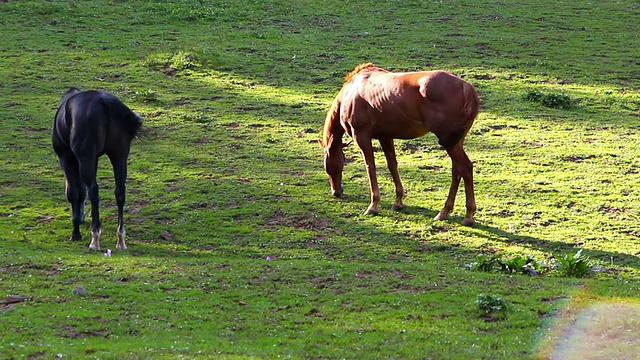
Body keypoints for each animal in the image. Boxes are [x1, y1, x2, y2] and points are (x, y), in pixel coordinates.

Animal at [52, 87, 142, 250]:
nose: (81, 217)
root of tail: (104, 101)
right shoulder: (94, 159)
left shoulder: (67, 158)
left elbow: (74, 192)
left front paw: (76, 232)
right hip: (119, 157)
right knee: (120, 192)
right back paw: (120, 239)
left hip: (86, 157)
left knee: (94, 190)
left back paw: (95, 238)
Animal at [322, 62, 478, 225]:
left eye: (327, 165)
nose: (336, 191)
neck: (351, 92)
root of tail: (467, 87)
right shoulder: (385, 136)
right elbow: (392, 165)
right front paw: (398, 202)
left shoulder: (362, 136)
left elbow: (371, 168)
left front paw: (373, 205)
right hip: (455, 142)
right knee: (457, 171)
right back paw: (444, 211)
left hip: (449, 142)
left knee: (465, 168)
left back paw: (468, 215)